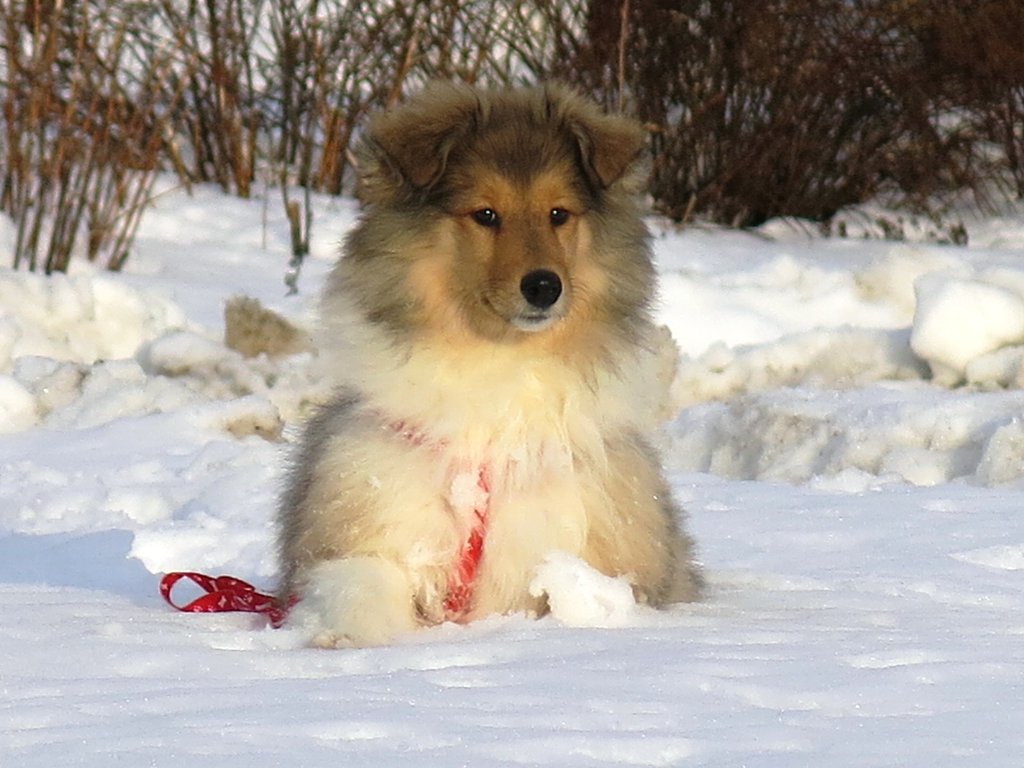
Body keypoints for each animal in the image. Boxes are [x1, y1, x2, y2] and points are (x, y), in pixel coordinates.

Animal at [276, 82, 700, 651]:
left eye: (558, 214)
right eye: (485, 215)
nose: (543, 286)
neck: (500, 363)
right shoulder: (371, 516)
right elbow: (359, 582)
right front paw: (343, 637)